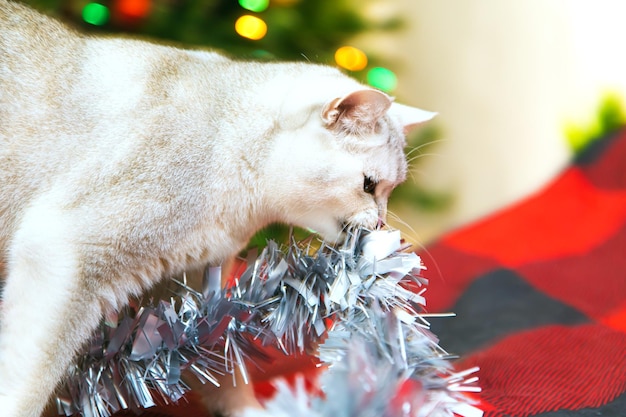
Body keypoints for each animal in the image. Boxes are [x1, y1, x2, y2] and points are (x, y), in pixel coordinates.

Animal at [0, 1, 434, 414]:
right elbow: (28, 379)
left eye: (390, 191)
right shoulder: (66, 252)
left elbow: (221, 366)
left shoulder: (192, 292)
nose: (380, 224)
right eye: (369, 186)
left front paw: (253, 410)